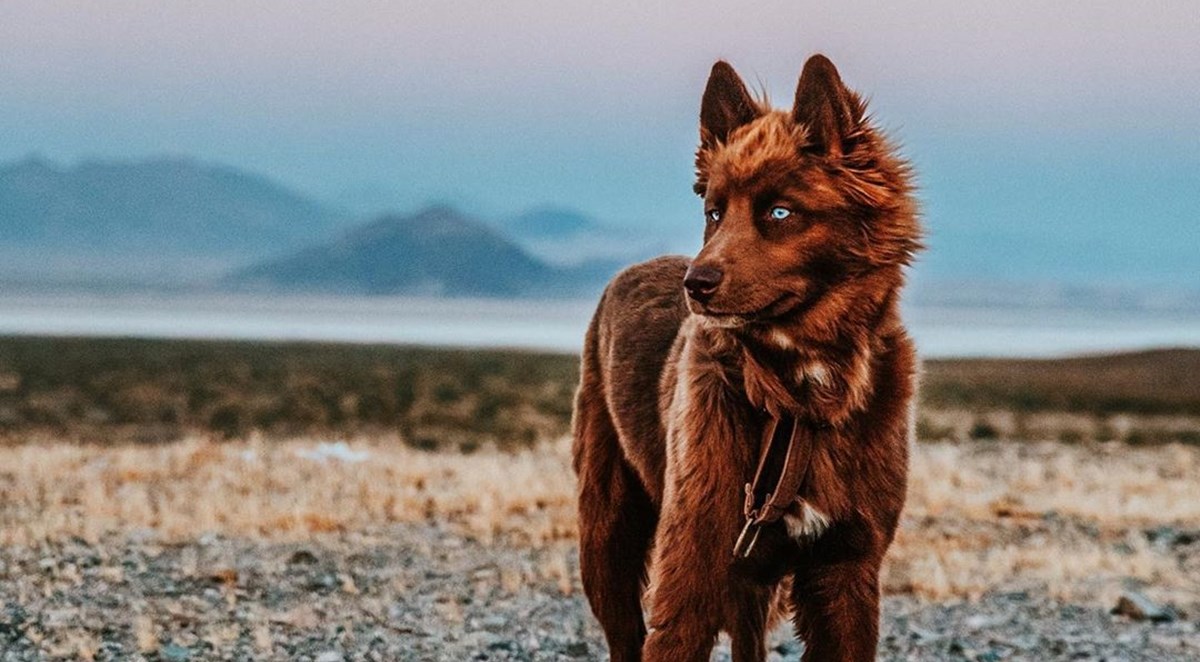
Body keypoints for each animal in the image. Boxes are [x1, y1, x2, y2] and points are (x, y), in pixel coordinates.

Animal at [576, 54, 921, 657]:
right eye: (714, 213)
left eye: (779, 212)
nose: (696, 284)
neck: (800, 393)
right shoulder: (690, 573)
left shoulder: (848, 573)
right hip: (607, 536)